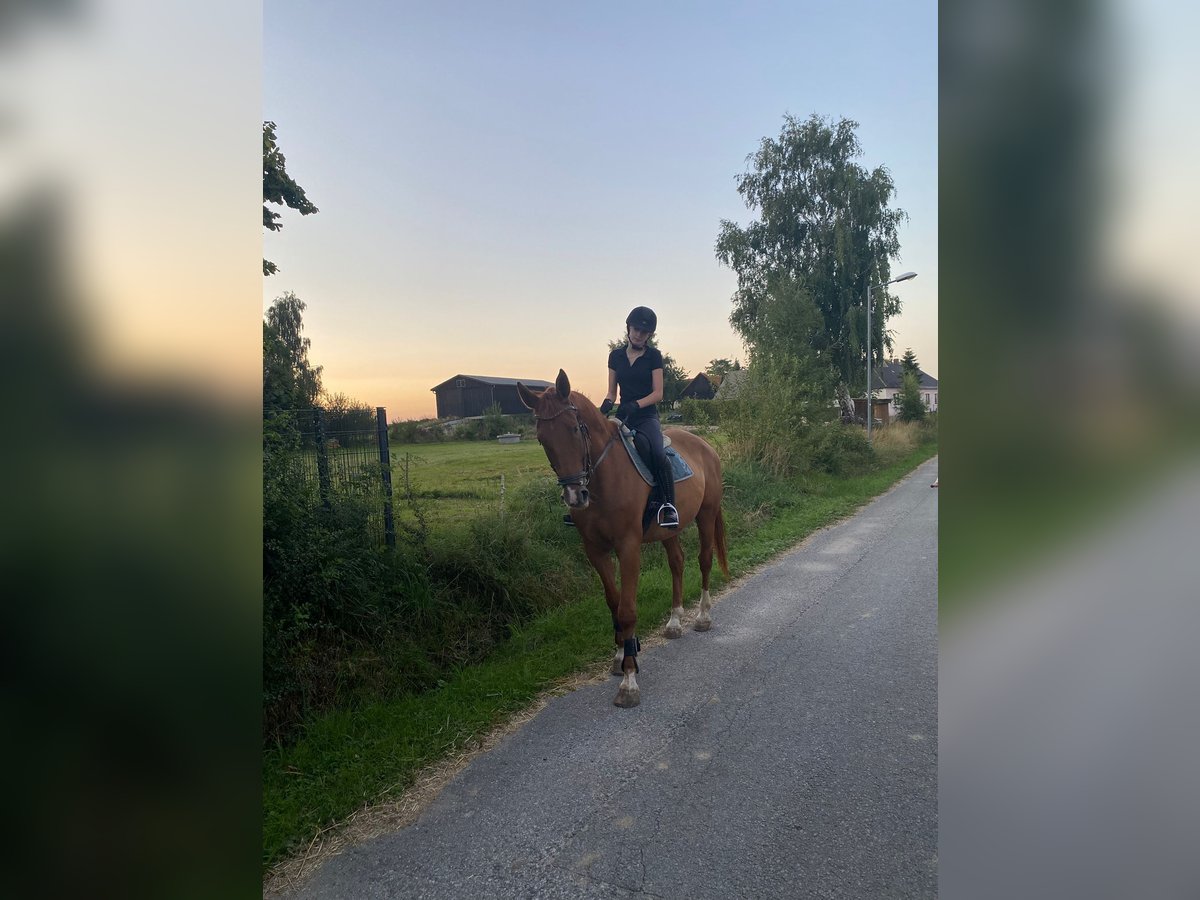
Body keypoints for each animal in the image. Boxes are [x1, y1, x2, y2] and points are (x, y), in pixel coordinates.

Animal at [518, 369, 729, 708]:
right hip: (669, 528)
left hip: (706, 515)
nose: (575, 495)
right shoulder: (595, 551)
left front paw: (629, 681)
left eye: (574, 429)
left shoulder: (628, 548)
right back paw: (674, 622)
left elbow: (627, 610)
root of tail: (703, 444)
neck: (605, 479)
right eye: (542, 439)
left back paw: (702, 617)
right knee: (677, 563)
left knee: (704, 560)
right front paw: (620, 656)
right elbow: (613, 604)